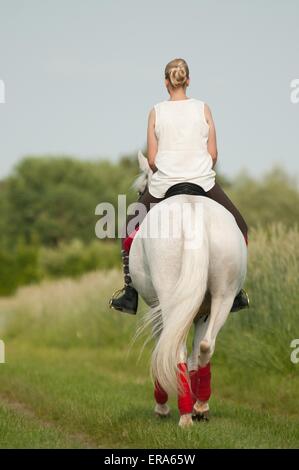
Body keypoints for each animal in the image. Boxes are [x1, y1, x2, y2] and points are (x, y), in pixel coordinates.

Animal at [129, 151, 248, 426]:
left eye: (140, 191)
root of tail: (192, 215)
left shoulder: (157, 310)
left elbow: (162, 347)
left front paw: (162, 405)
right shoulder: (202, 311)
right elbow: (196, 353)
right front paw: (196, 405)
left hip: (169, 298)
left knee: (177, 351)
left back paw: (182, 414)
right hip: (223, 296)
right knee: (205, 346)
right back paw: (200, 406)